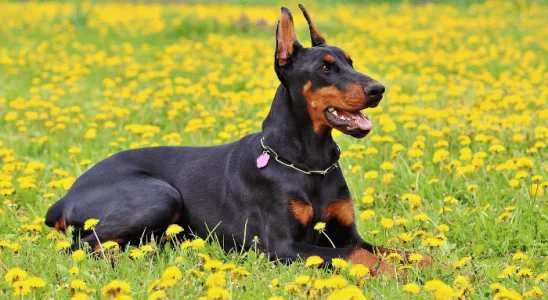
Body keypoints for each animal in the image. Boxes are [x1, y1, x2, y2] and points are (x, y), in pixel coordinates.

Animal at [46, 5, 428, 276]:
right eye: (325, 68)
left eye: (351, 61)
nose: (378, 89)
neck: (308, 163)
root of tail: (65, 197)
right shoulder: (283, 246)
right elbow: (356, 255)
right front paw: (397, 273)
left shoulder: (346, 232)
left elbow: (398, 250)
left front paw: (426, 263)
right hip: (159, 196)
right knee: (80, 247)